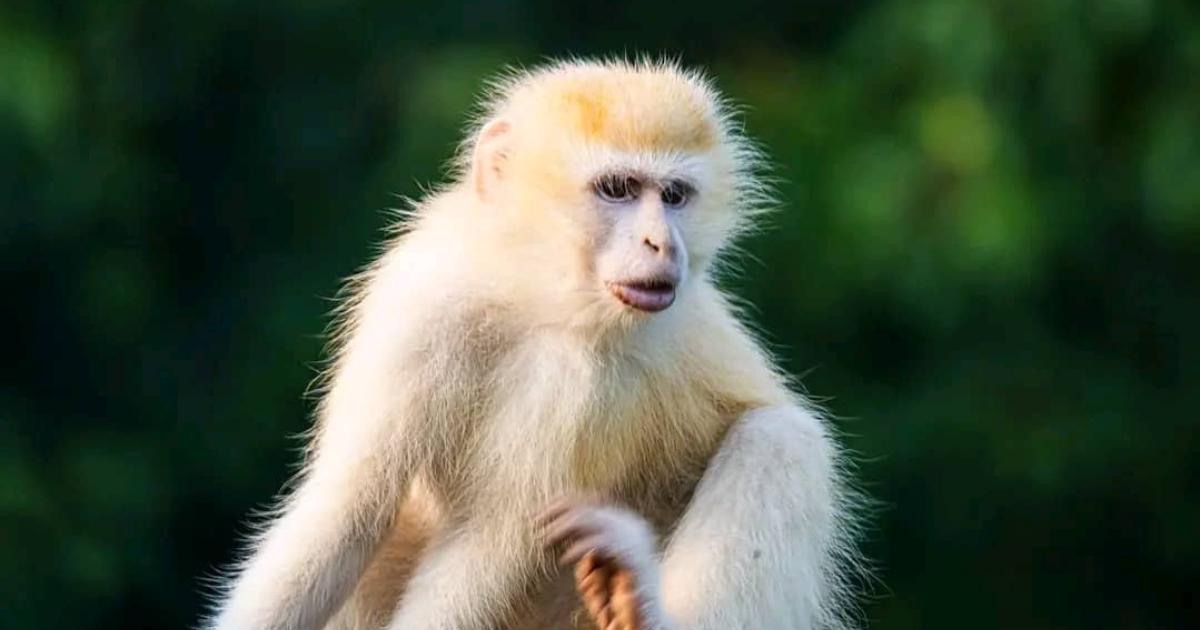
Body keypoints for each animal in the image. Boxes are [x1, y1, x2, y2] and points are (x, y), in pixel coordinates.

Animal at [204, 58, 863, 630]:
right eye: (619, 188)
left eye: (674, 196)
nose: (661, 243)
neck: (533, 298)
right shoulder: (421, 298)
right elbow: (351, 508)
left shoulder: (581, 383)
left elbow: (497, 537)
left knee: (781, 439)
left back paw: (642, 611)